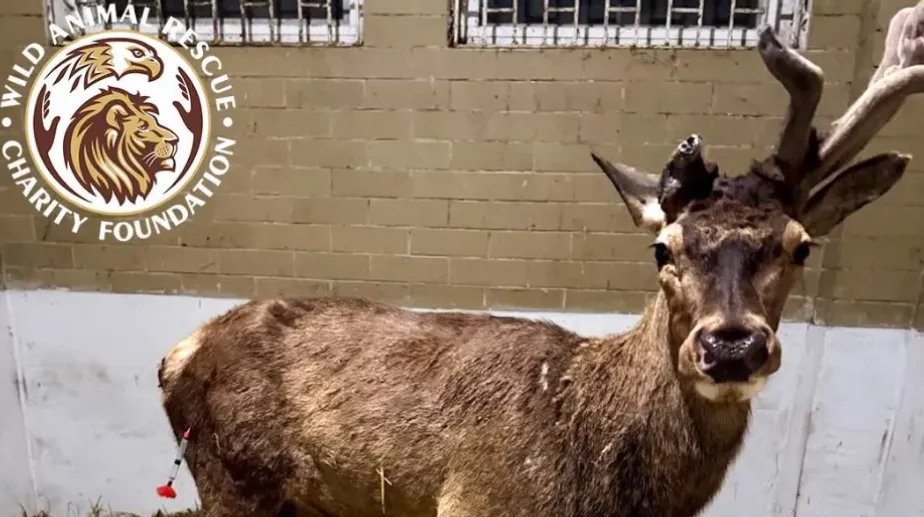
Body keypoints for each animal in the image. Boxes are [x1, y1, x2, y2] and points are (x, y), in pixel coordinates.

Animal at [157, 5, 924, 517]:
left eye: (800, 244)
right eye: (663, 248)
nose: (731, 345)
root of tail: (174, 354)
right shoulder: (477, 502)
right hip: (235, 483)